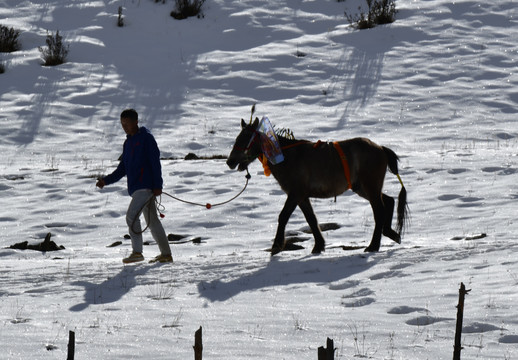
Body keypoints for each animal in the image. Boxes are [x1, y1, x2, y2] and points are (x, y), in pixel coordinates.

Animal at [228, 111, 410, 255]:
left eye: (246, 139)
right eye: (238, 138)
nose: (230, 161)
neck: (287, 157)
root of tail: (380, 148)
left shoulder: (295, 194)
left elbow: (284, 216)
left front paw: (276, 245)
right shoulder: (302, 196)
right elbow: (311, 219)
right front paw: (318, 246)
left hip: (369, 186)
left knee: (379, 211)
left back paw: (373, 245)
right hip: (362, 188)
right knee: (388, 201)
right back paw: (391, 234)